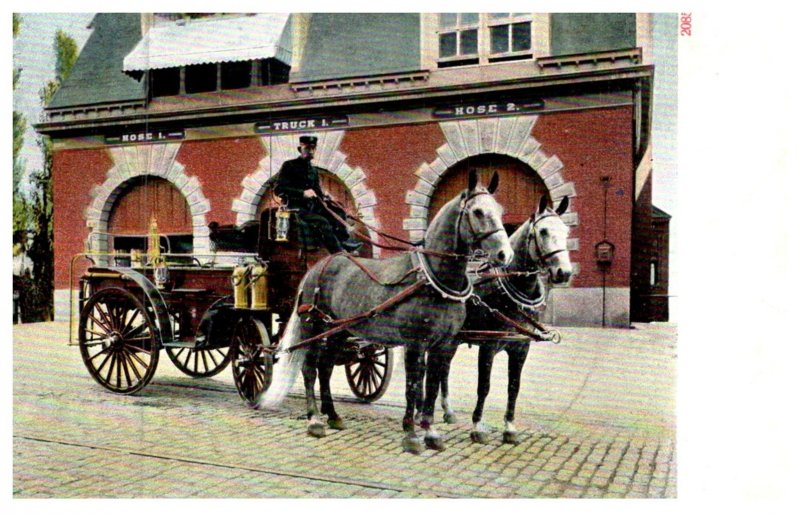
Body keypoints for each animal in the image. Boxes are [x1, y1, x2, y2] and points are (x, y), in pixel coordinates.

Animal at [262, 171, 512, 454]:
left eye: (499, 210)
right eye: (478, 212)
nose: (505, 254)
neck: (433, 279)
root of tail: (319, 266)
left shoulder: (442, 345)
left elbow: (432, 387)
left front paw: (431, 433)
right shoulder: (415, 344)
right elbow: (413, 387)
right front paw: (411, 435)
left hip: (339, 330)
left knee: (325, 368)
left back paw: (333, 415)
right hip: (314, 327)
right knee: (310, 370)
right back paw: (314, 419)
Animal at [422, 196, 572, 446]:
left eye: (566, 231)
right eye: (542, 231)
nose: (564, 272)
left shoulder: (521, 347)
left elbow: (514, 387)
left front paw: (509, 427)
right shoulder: (488, 346)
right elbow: (484, 386)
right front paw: (477, 426)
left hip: (451, 341)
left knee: (443, 369)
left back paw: (447, 411)